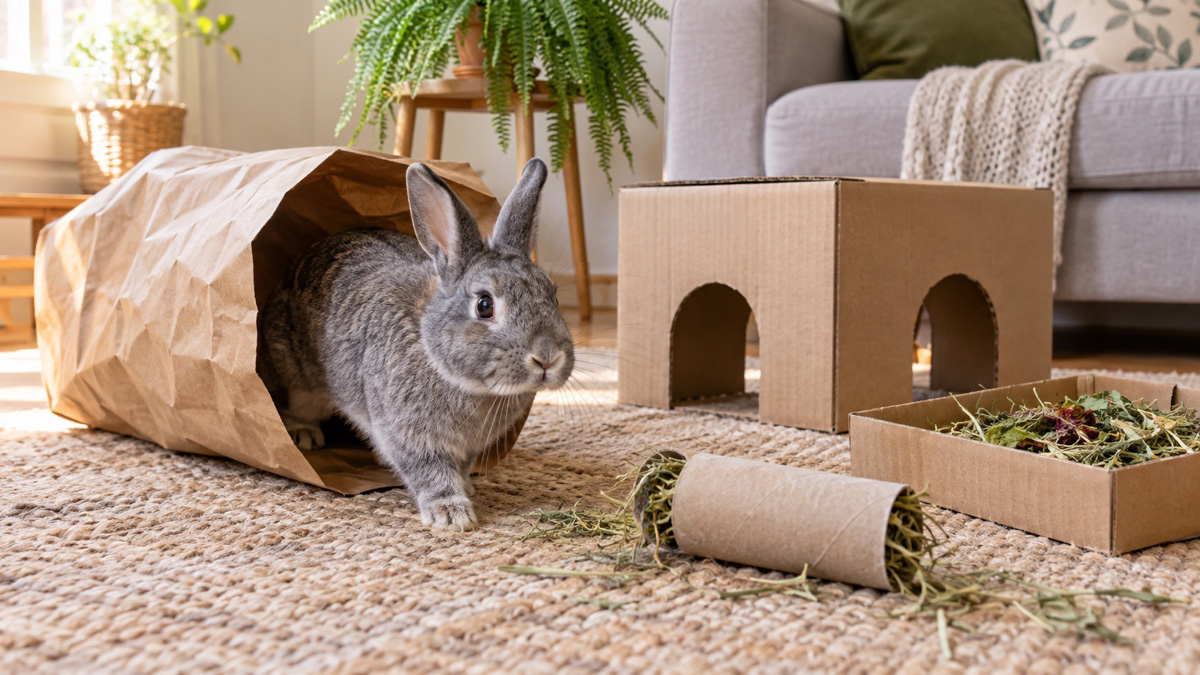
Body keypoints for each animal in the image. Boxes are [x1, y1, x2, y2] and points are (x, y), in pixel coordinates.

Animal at [258, 158, 574, 531]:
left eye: (553, 296)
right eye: (485, 305)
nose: (547, 357)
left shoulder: (468, 447)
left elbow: (461, 466)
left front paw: (466, 487)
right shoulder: (409, 436)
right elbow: (429, 471)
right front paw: (452, 513)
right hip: (295, 376)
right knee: (296, 406)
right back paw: (305, 437)